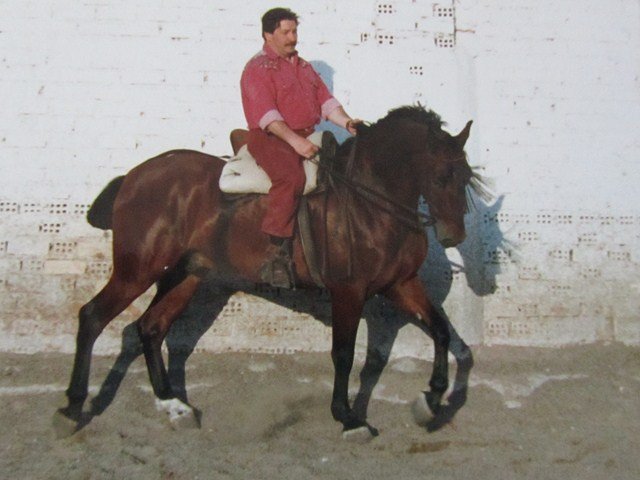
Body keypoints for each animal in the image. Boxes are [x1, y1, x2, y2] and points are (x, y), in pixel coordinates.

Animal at [54, 104, 482, 439]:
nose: (454, 234)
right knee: (93, 317)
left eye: (466, 177)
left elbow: (442, 331)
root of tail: (133, 177)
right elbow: (344, 354)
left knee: (149, 327)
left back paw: (172, 403)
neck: (367, 200)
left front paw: (432, 398)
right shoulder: (348, 291)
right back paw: (73, 407)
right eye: (441, 176)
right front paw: (347, 417)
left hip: (185, 275)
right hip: (136, 271)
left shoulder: (400, 284)